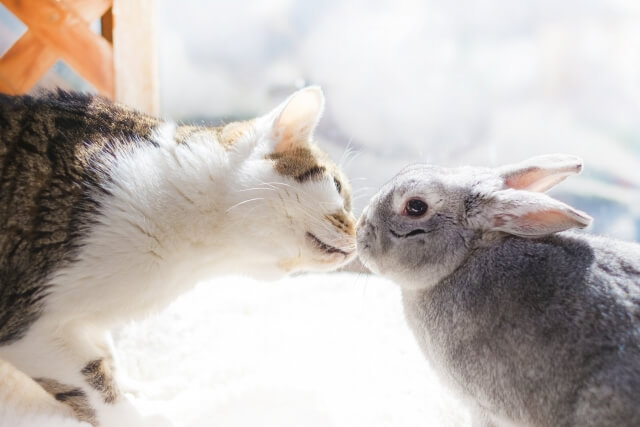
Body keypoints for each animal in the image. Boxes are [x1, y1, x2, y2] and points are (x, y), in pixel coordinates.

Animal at [0, 86, 356, 424]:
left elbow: (104, 353)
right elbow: (91, 379)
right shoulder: (29, 327)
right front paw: (135, 418)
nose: (357, 232)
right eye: (338, 187)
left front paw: (134, 388)